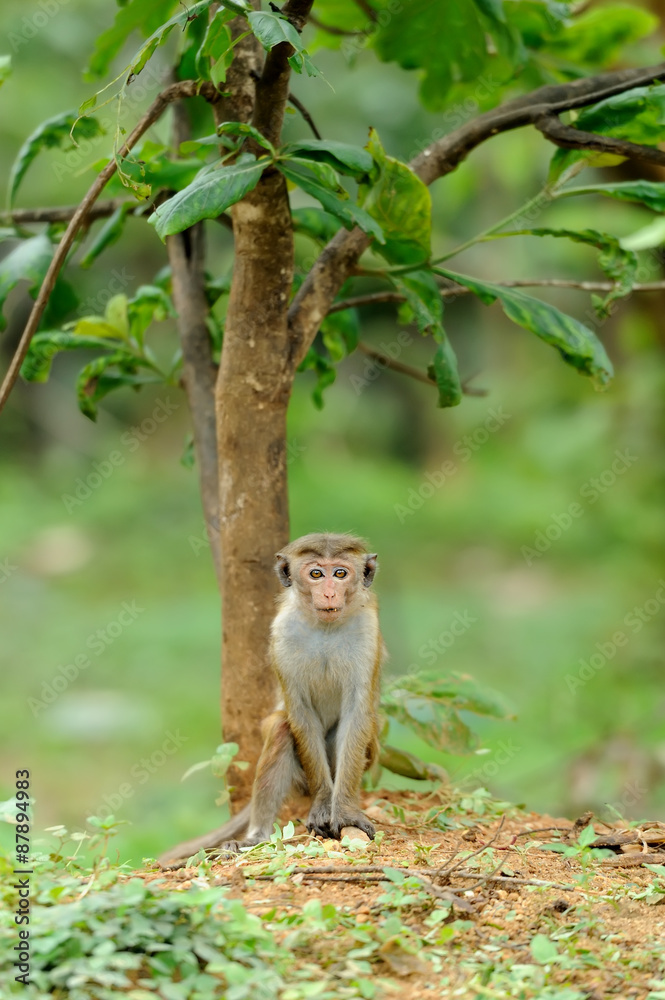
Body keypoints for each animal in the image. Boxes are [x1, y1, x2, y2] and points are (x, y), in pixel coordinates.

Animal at [159, 532, 384, 868]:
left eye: (340, 573)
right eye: (316, 573)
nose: (329, 593)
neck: (326, 628)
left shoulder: (368, 630)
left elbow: (357, 713)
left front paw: (343, 811)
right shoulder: (282, 632)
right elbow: (299, 712)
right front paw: (322, 803)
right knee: (280, 728)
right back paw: (256, 837)